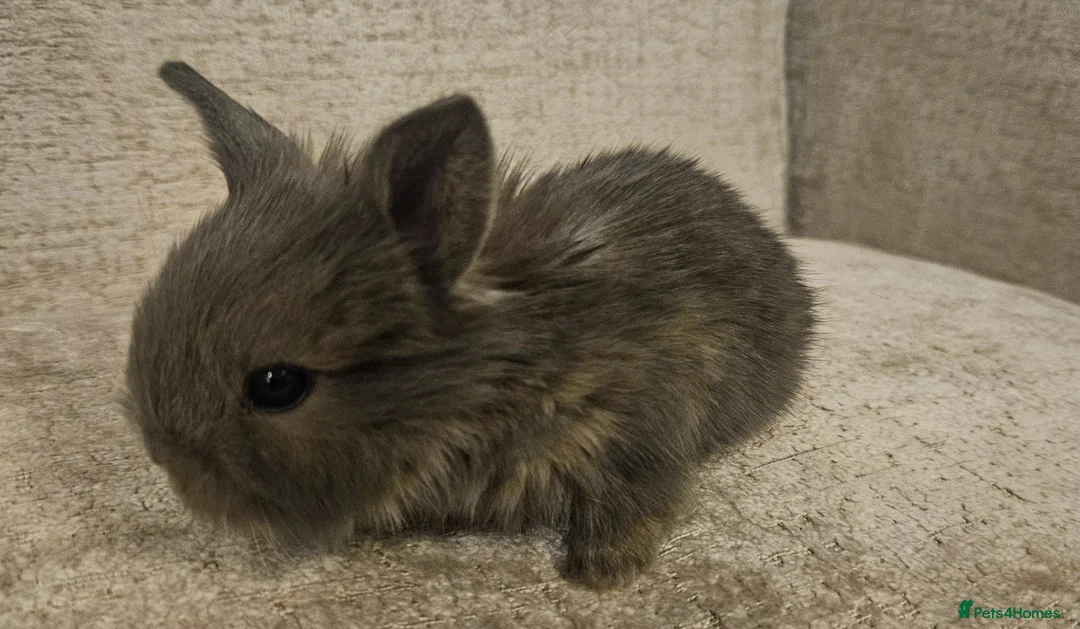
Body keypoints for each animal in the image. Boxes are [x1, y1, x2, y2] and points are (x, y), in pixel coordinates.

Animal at [122, 61, 817, 589]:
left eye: (276, 385)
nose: (161, 454)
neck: (509, 361)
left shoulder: (642, 425)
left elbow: (641, 498)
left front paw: (601, 572)